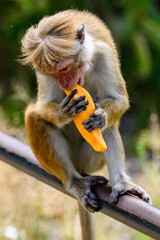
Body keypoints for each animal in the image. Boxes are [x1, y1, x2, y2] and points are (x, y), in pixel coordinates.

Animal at [20, 9, 152, 240]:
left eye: (64, 68)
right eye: (53, 73)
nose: (64, 84)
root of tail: (80, 168)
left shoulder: (104, 55)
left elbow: (119, 100)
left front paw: (101, 117)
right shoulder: (42, 72)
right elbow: (42, 107)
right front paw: (64, 112)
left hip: (90, 160)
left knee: (107, 128)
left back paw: (121, 183)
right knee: (34, 117)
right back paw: (75, 182)